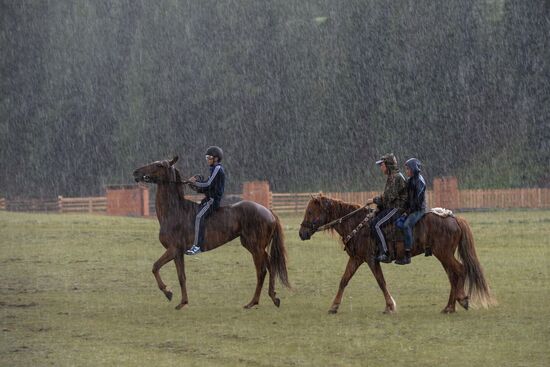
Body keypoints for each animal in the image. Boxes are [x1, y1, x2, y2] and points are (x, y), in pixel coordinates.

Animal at [133, 156, 294, 310]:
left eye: (159, 165)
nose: (136, 172)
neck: (175, 211)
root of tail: (268, 211)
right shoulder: (178, 253)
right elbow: (181, 276)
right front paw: (183, 302)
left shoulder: (173, 250)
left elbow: (155, 267)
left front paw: (168, 292)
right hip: (254, 247)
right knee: (270, 266)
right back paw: (273, 297)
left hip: (256, 248)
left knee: (261, 272)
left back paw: (252, 302)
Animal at [300, 196, 498, 314]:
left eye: (310, 212)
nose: (301, 233)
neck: (358, 224)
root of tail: (454, 218)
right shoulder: (356, 258)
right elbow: (344, 280)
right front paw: (334, 306)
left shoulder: (370, 259)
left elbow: (381, 281)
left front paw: (390, 306)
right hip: (442, 255)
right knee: (453, 275)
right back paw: (449, 307)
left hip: (444, 254)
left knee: (460, 270)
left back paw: (462, 300)